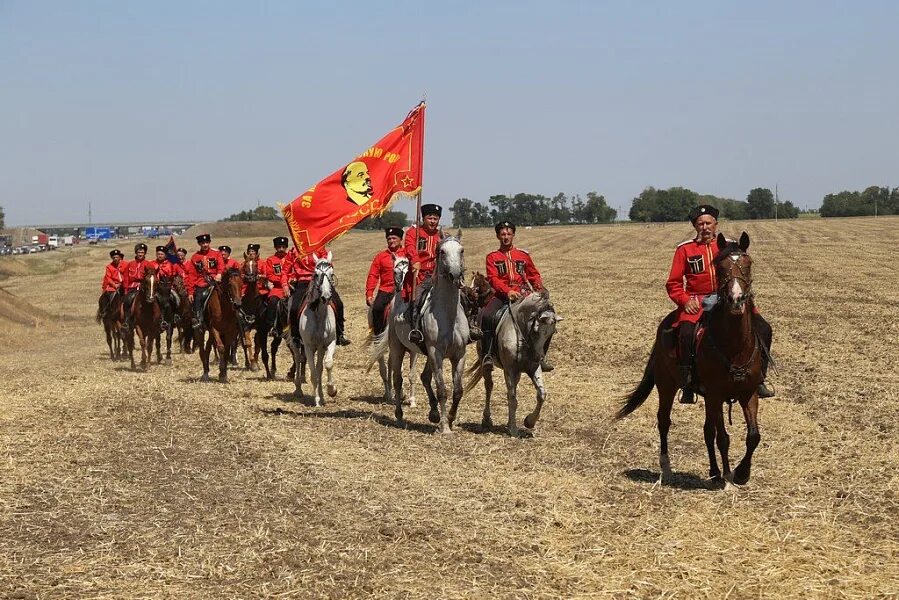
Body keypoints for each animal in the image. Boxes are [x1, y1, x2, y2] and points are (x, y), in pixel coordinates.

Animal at [290, 251, 340, 406]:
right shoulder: (308, 346)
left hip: (320, 347)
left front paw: (331, 390)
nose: (326, 297)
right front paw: (316, 399)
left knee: (319, 368)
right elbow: (312, 372)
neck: (319, 315)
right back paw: (298, 390)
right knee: (298, 359)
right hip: (296, 343)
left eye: (331, 273)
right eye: (316, 274)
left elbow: (327, 365)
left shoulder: (329, 343)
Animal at [370, 232, 472, 434]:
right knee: (398, 379)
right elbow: (442, 390)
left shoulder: (459, 354)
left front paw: (450, 418)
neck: (448, 315)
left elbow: (458, 390)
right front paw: (445, 427)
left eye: (462, 250)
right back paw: (399, 415)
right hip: (398, 348)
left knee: (424, 377)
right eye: (442, 251)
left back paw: (433, 413)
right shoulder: (435, 353)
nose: (456, 275)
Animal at [468, 290, 560, 436]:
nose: (539, 358)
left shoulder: (533, 368)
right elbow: (512, 398)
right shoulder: (510, 370)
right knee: (489, 386)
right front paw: (513, 429)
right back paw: (487, 420)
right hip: (486, 363)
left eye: (551, 333)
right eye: (536, 330)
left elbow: (541, 394)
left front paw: (529, 421)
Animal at [616, 232, 764, 490]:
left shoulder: (749, 392)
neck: (735, 346)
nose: (736, 299)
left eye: (748, 264)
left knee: (707, 430)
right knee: (664, 421)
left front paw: (741, 474)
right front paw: (729, 477)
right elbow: (723, 438)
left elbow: (753, 436)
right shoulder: (715, 394)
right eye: (721, 267)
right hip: (666, 386)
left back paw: (714, 472)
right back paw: (667, 469)